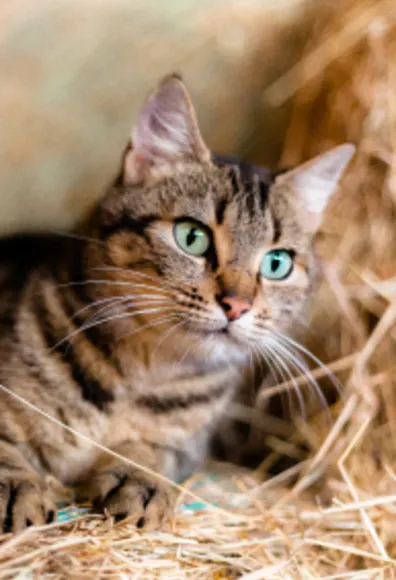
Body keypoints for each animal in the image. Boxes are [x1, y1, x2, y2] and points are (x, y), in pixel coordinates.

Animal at [0, 75, 356, 532]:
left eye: (277, 263)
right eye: (192, 237)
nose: (236, 305)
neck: (142, 370)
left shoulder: (186, 446)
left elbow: (153, 451)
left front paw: (139, 478)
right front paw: (16, 487)